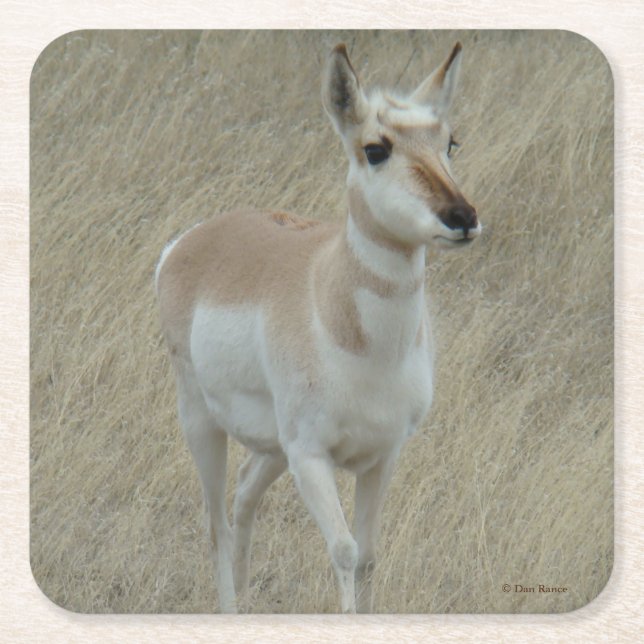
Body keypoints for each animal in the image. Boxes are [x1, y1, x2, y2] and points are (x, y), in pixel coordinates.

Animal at [156, 41, 480, 614]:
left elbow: (369, 554)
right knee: (216, 524)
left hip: (271, 448)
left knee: (244, 494)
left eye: (450, 141)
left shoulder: (381, 457)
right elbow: (345, 551)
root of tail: (192, 241)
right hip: (203, 423)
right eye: (375, 148)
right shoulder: (311, 457)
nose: (461, 217)